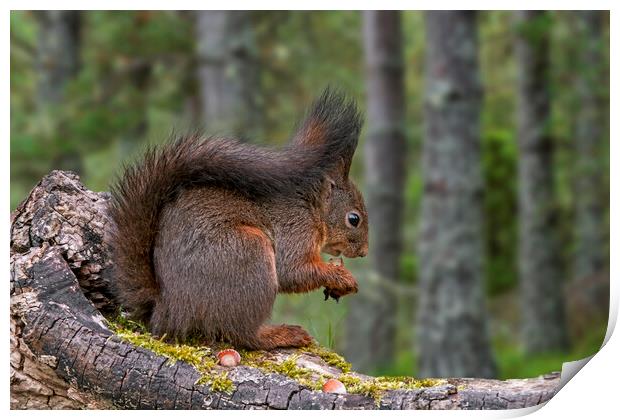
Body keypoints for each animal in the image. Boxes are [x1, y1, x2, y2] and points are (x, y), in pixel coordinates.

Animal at [108, 89, 368, 352]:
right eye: (353, 219)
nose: (364, 252)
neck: (312, 208)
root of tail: (168, 309)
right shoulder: (295, 228)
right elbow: (293, 271)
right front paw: (342, 277)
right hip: (248, 254)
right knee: (243, 334)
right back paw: (281, 335)